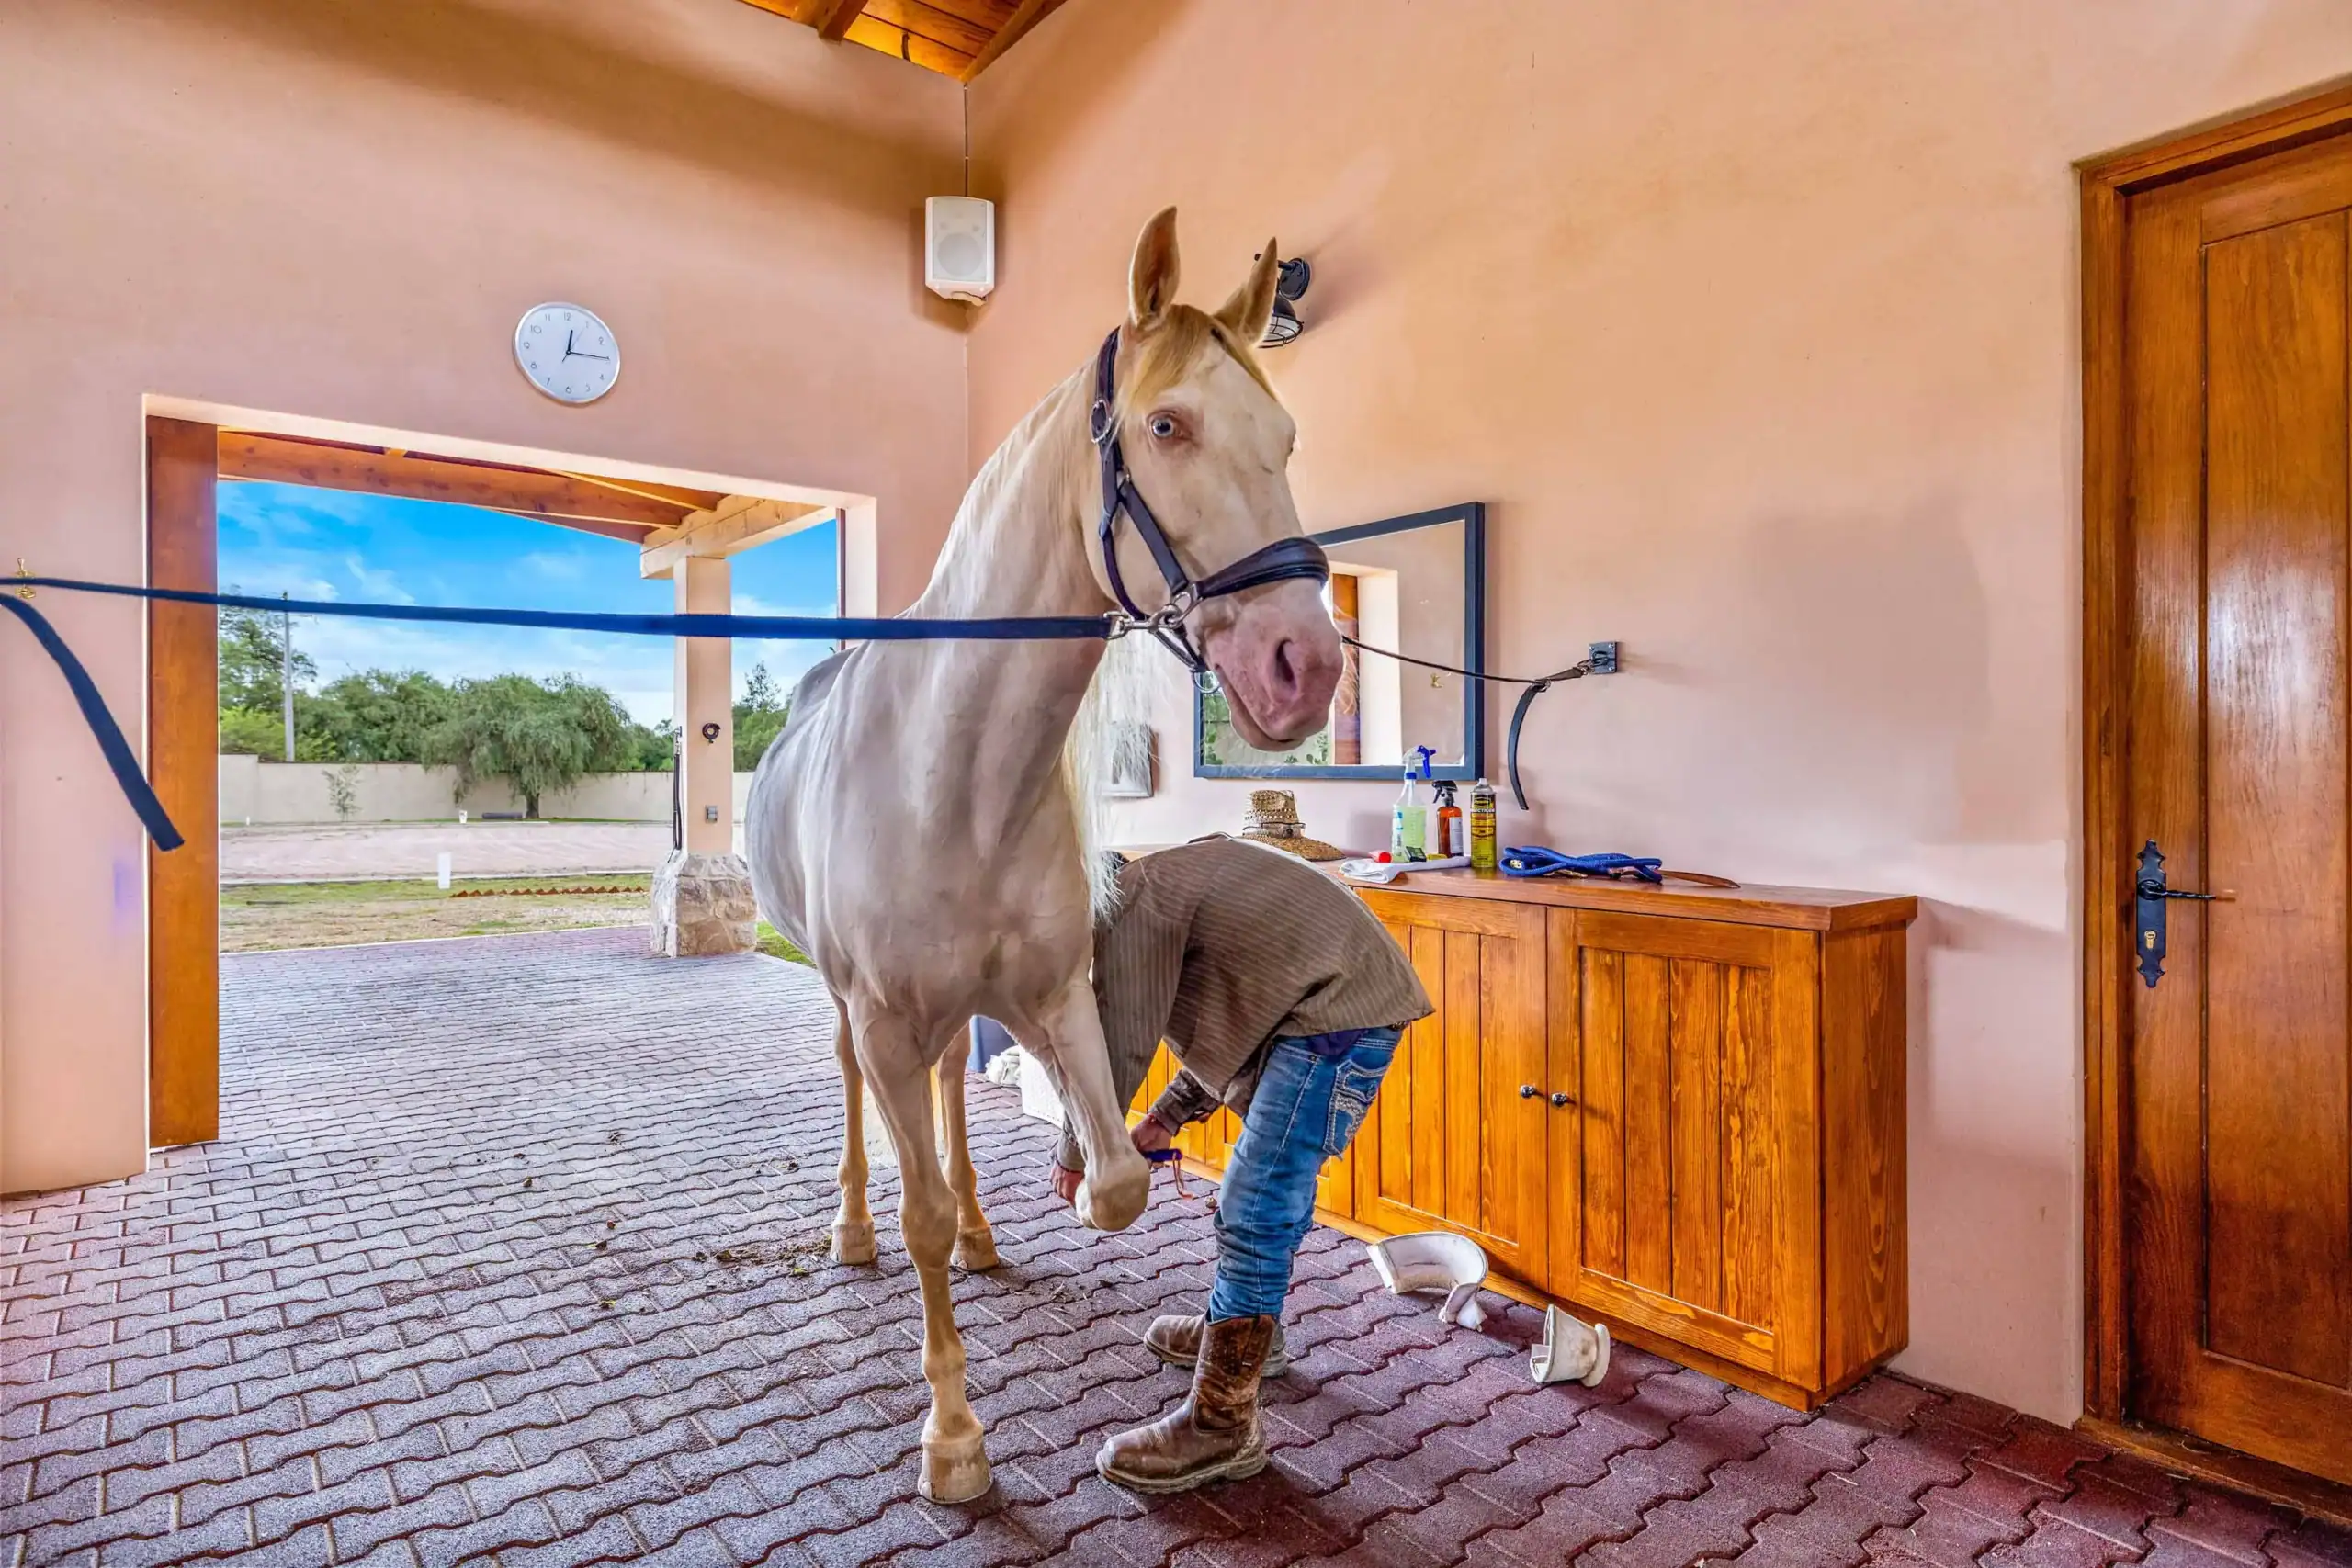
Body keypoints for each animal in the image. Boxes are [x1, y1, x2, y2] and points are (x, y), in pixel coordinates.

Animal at [744, 207, 1345, 1504]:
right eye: (1166, 426)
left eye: (1285, 439)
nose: (1306, 668)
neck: (959, 774)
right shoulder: (881, 1012)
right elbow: (914, 1201)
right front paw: (954, 1437)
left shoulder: (1052, 994)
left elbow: (1115, 1183)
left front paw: (1047, 1208)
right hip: (848, 1006)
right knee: (865, 1099)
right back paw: (853, 1229)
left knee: (943, 1105)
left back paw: (980, 1232)